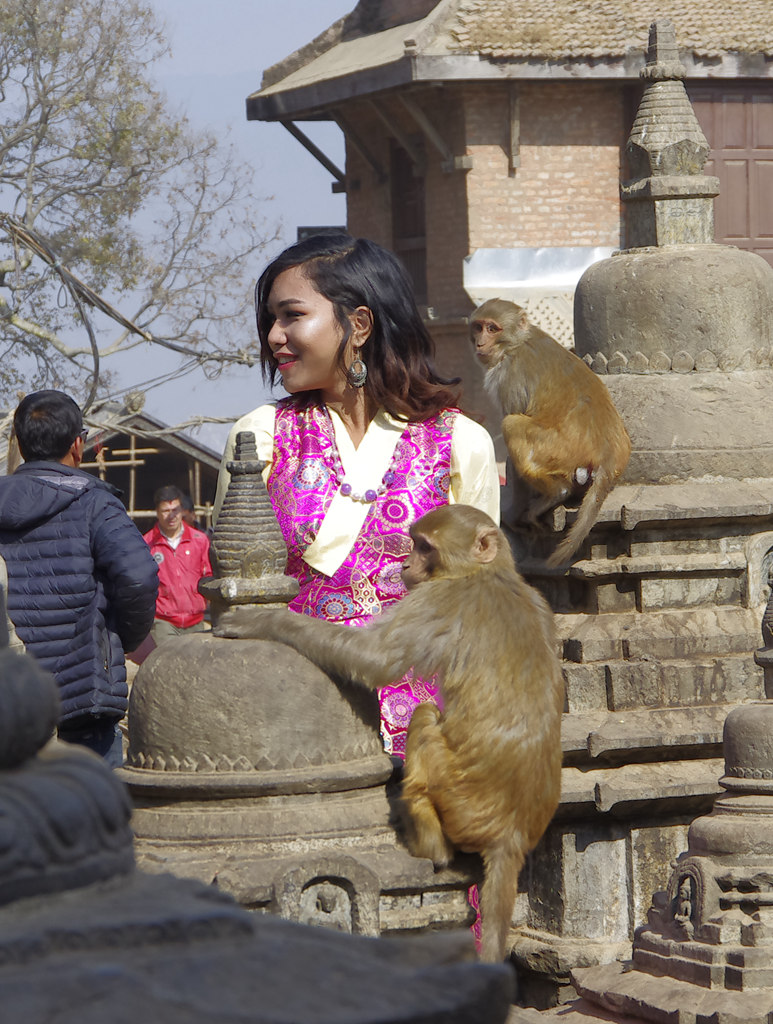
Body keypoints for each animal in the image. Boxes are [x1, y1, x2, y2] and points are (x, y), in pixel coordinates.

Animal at [218, 503, 561, 958]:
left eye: (425, 546)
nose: (406, 565)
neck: (488, 572)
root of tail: (513, 835)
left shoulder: (435, 600)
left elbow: (373, 659)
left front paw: (264, 620)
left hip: (456, 795)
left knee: (425, 718)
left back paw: (430, 845)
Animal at [468, 296, 630, 569]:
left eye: (492, 328)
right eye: (478, 327)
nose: (480, 342)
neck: (517, 341)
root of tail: (608, 454)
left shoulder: (508, 376)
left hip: (555, 448)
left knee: (511, 423)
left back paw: (556, 494)